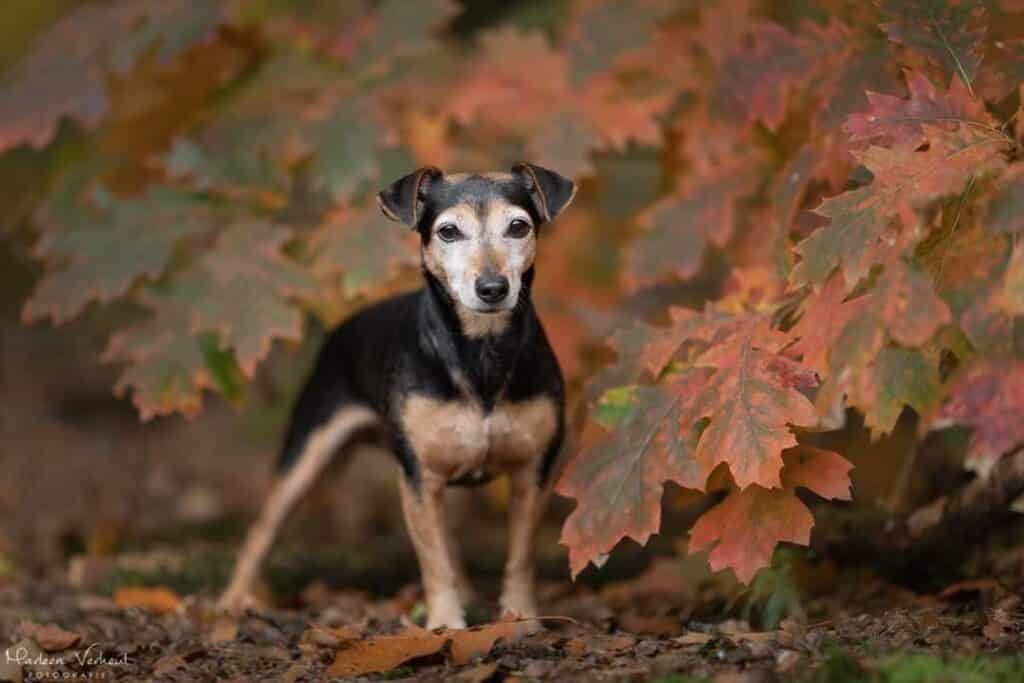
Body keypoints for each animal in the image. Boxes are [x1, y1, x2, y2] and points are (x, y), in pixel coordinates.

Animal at [220, 162, 577, 626]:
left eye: (519, 227)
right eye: (448, 232)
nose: (493, 287)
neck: (480, 351)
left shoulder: (533, 471)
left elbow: (520, 556)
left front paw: (520, 617)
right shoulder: (417, 476)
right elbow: (433, 561)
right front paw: (444, 624)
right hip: (310, 446)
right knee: (263, 526)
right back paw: (232, 601)